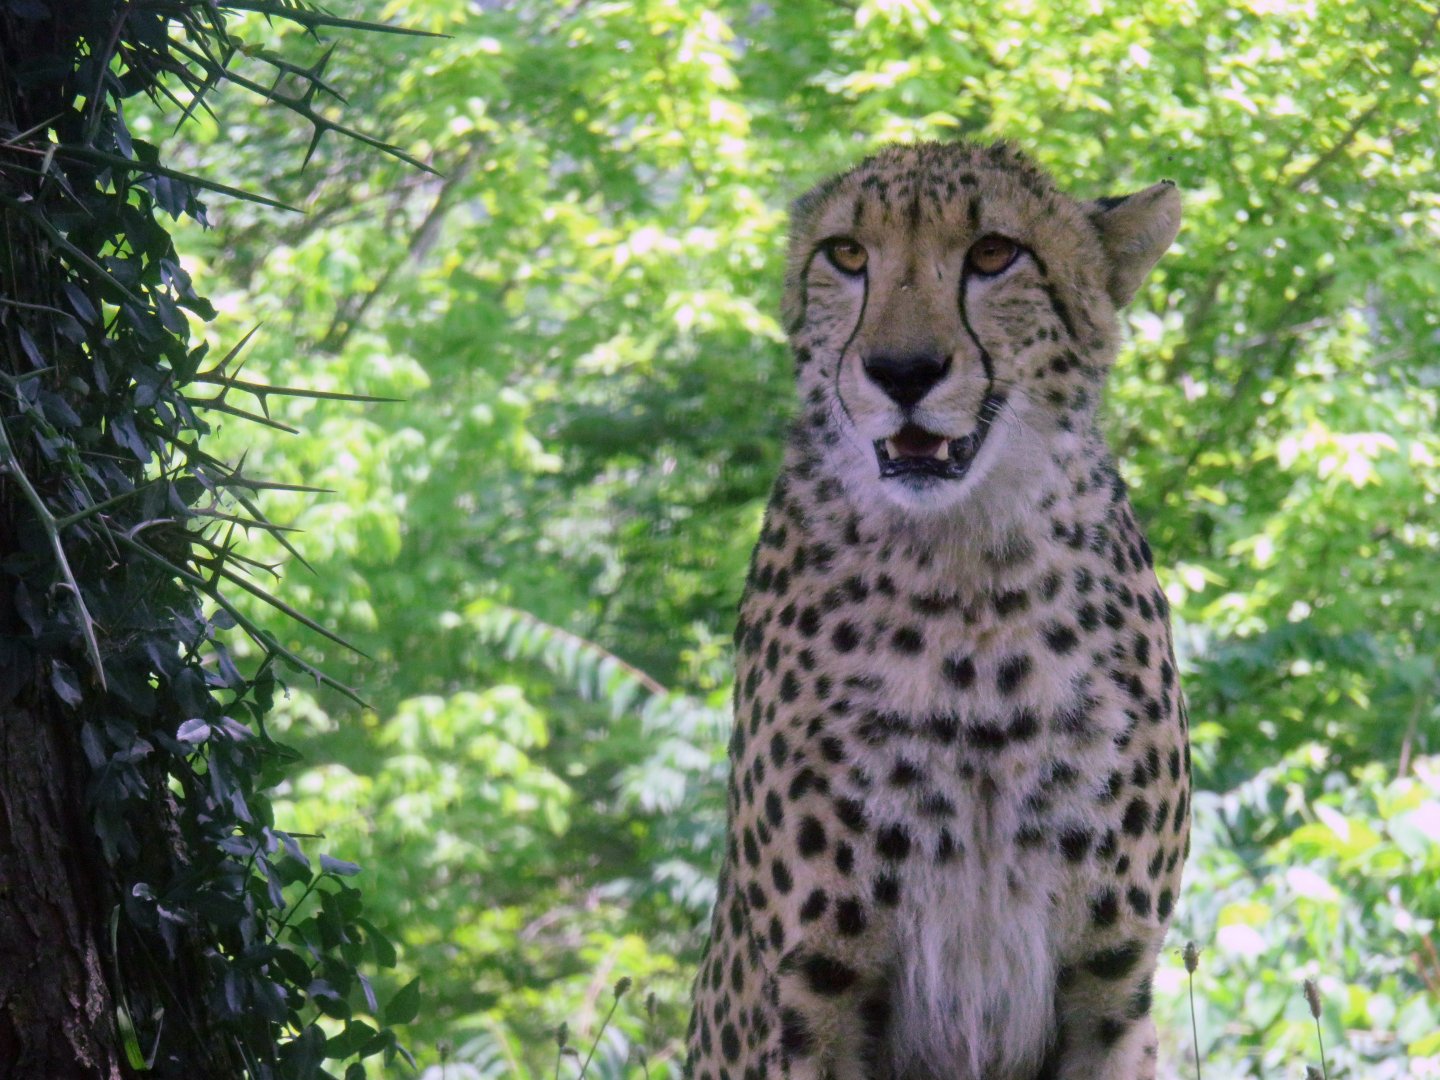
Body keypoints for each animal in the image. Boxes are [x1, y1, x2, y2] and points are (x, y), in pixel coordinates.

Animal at [684, 140, 1190, 1080]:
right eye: (847, 254)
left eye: (994, 254)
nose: (903, 372)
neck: (971, 586)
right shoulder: (815, 984)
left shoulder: (1110, 975)